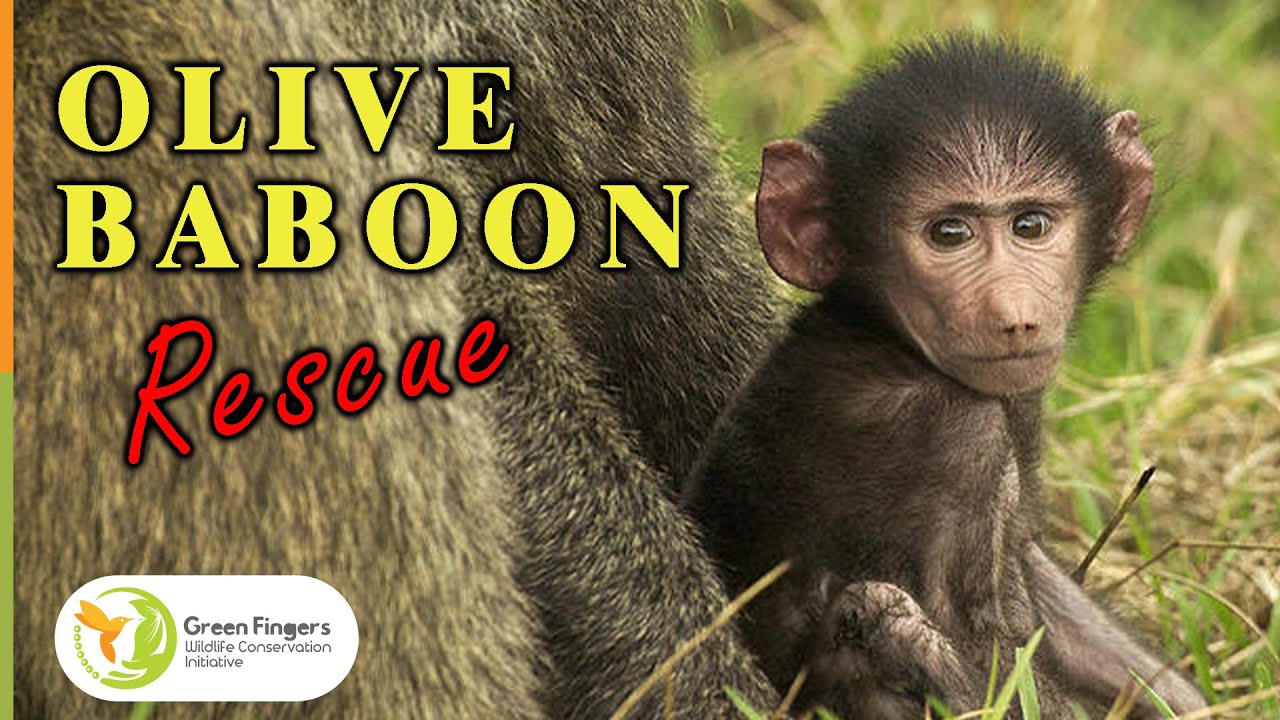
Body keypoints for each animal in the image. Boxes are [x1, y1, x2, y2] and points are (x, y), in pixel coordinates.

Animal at [682, 36, 1210, 719]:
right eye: (948, 233)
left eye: (1030, 225)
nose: (1013, 314)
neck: (884, 335)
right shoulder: (958, 435)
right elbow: (983, 643)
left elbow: (1035, 574)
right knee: (883, 610)